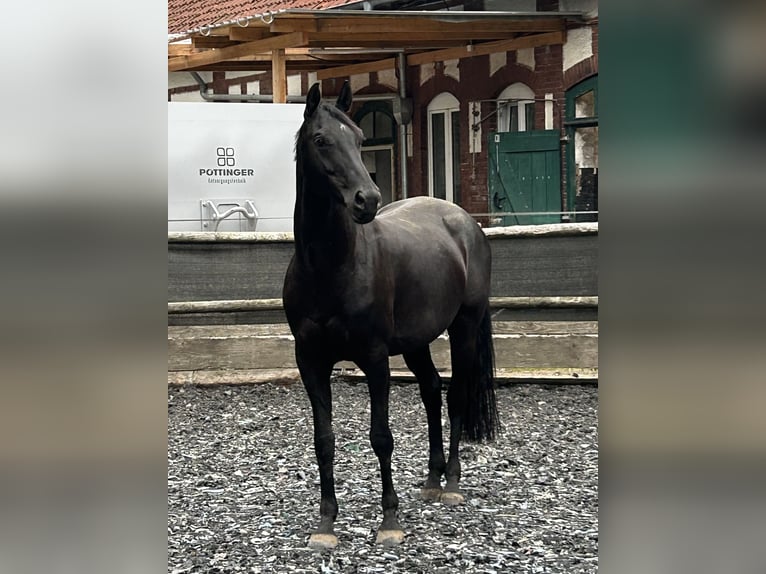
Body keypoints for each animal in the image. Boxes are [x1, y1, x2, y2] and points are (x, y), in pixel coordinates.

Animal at [283, 81, 499, 550]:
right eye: (321, 140)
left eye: (360, 138)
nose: (367, 200)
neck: (329, 268)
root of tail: (464, 221)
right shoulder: (310, 362)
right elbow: (324, 440)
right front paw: (326, 523)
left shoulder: (375, 359)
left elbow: (381, 437)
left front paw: (390, 520)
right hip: (417, 341)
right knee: (432, 390)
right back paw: (432, 478)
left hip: (464, 327)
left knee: (455, 394)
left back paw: (451, 483)